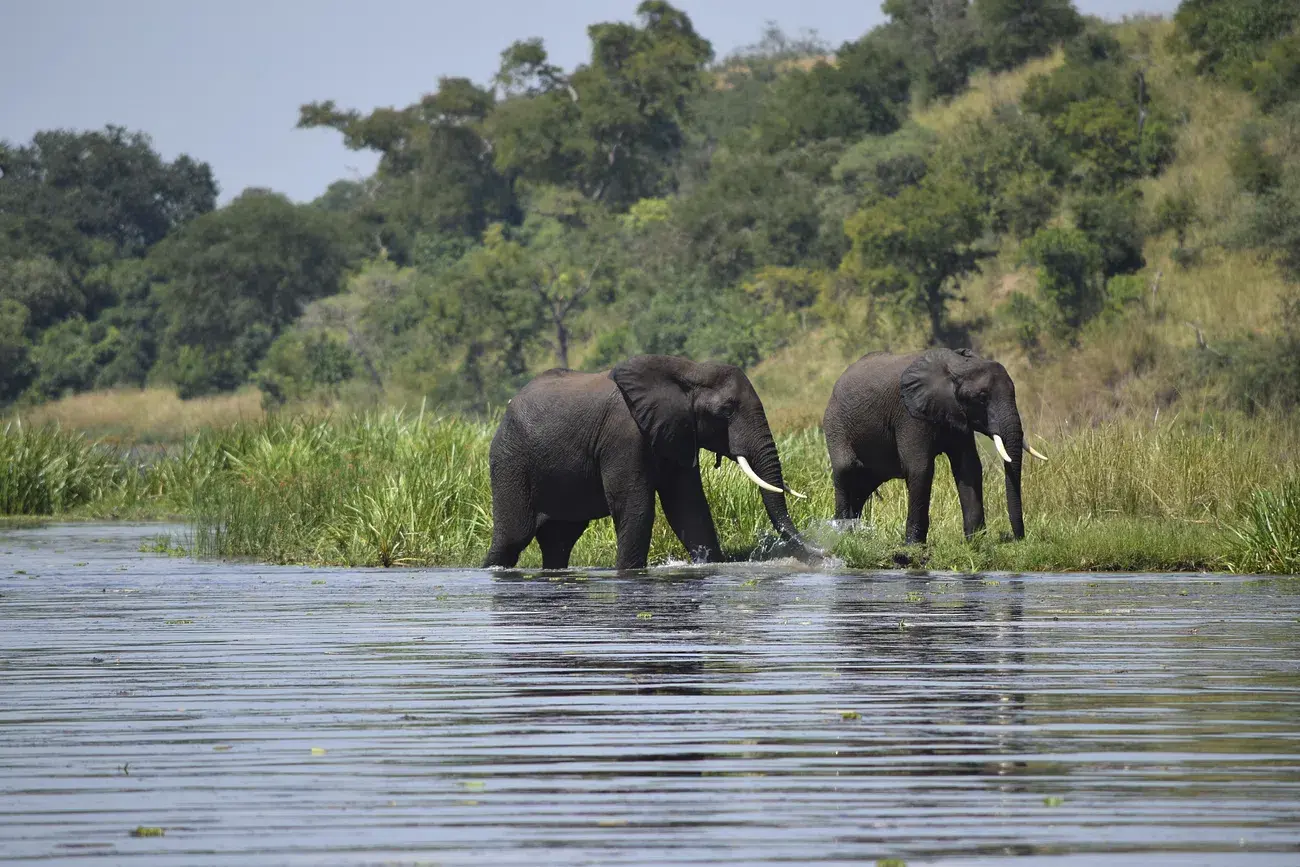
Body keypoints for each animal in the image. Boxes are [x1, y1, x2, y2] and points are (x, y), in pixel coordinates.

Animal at [483, 353, 816, 569]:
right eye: (725, 411)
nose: (821, 554)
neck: (688, 371)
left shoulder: (676, 432)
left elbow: (688, 507)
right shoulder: (624, 435)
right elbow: (636, 506)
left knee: (559, 540)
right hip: (510, 459)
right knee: (513, 537)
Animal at [826, 348, 1050, 545]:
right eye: (981, 397)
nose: (1018, 539)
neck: (956, 366)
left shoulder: (958, 417)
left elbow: (969, 467)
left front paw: (976, 543)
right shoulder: (910, 414)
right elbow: (920, 469)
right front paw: (913, 545)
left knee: (862, 485)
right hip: (835, 424)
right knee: (846, 470)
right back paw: (843, 535)